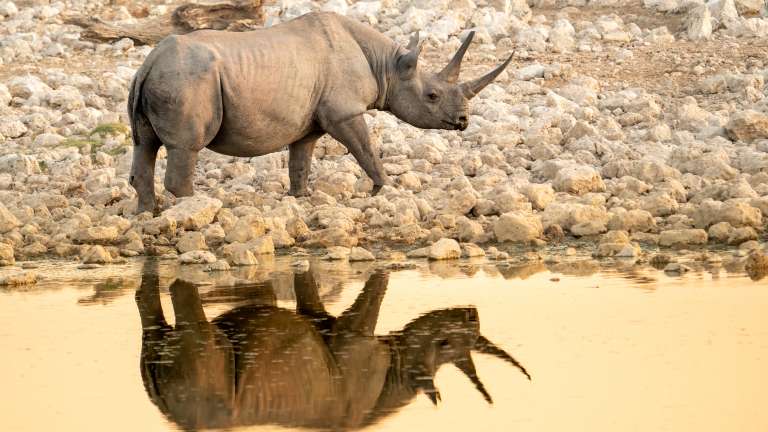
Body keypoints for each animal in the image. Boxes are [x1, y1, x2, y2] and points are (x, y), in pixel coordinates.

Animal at [128, 11, 513, 213]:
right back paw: (196, 208)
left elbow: (301, 161)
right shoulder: (344, 112)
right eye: (432, 96)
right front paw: (384, 189)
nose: (463, 121)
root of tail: (149, 61)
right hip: (187, 80)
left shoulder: (309, 123)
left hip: (163, 78)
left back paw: (150, 213)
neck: (387, 66)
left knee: (144, 145)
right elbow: (365, 150)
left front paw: (300, 199)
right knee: (185, 147)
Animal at [135, 261, 531, 430]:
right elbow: (375, 296)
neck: (400, 370)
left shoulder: (318, 320)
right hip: (204, 391)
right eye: (444, 343)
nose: (471, 314)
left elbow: (308, 294)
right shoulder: (355, 336)